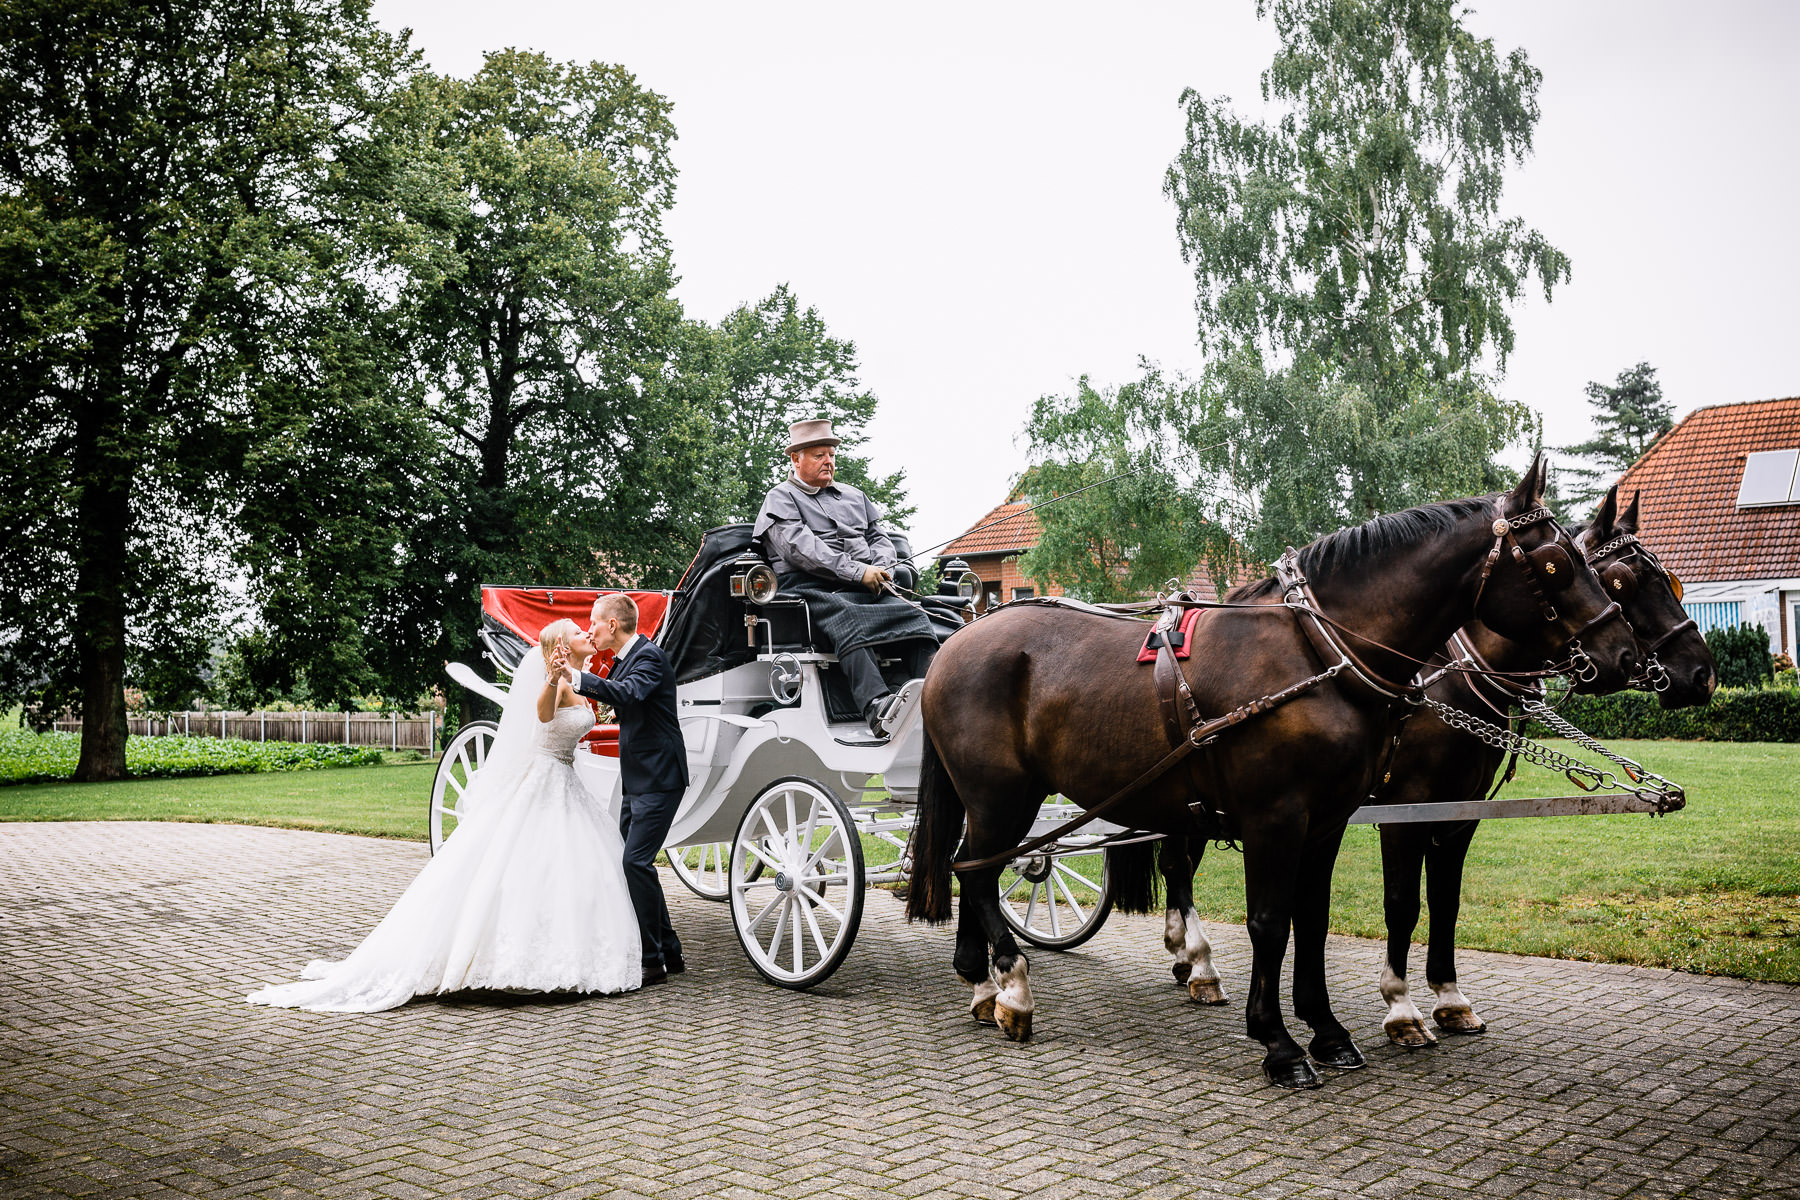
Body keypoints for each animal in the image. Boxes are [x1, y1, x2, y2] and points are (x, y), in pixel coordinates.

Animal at [907, 456, 1641, 1086]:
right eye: (1555, 563)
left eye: (1596, 567)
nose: (1625, 654)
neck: (1317, 654)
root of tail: (958, 639)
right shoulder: (1278, 818)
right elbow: (1271, 921)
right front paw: (1280, 1043)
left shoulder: (1331, 820)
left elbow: (1312, 919)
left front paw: (1329, 1031)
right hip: (1002, 795)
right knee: (977, 867)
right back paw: (1014, 988)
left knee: (972, 865)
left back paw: (984, 982)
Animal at [1152, 482, 1713, 1036]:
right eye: (1621, 581)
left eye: (1670, 582)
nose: (1701, 675)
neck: (1452, 678)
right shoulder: (1407, 808)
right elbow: (1402, 903)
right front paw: (1400, 1005)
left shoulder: (1460, 810)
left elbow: (1446, 899)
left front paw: (1449, 995)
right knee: (1178, 863)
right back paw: (1200, 962)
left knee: (1177, 861)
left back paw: (1184, 953)